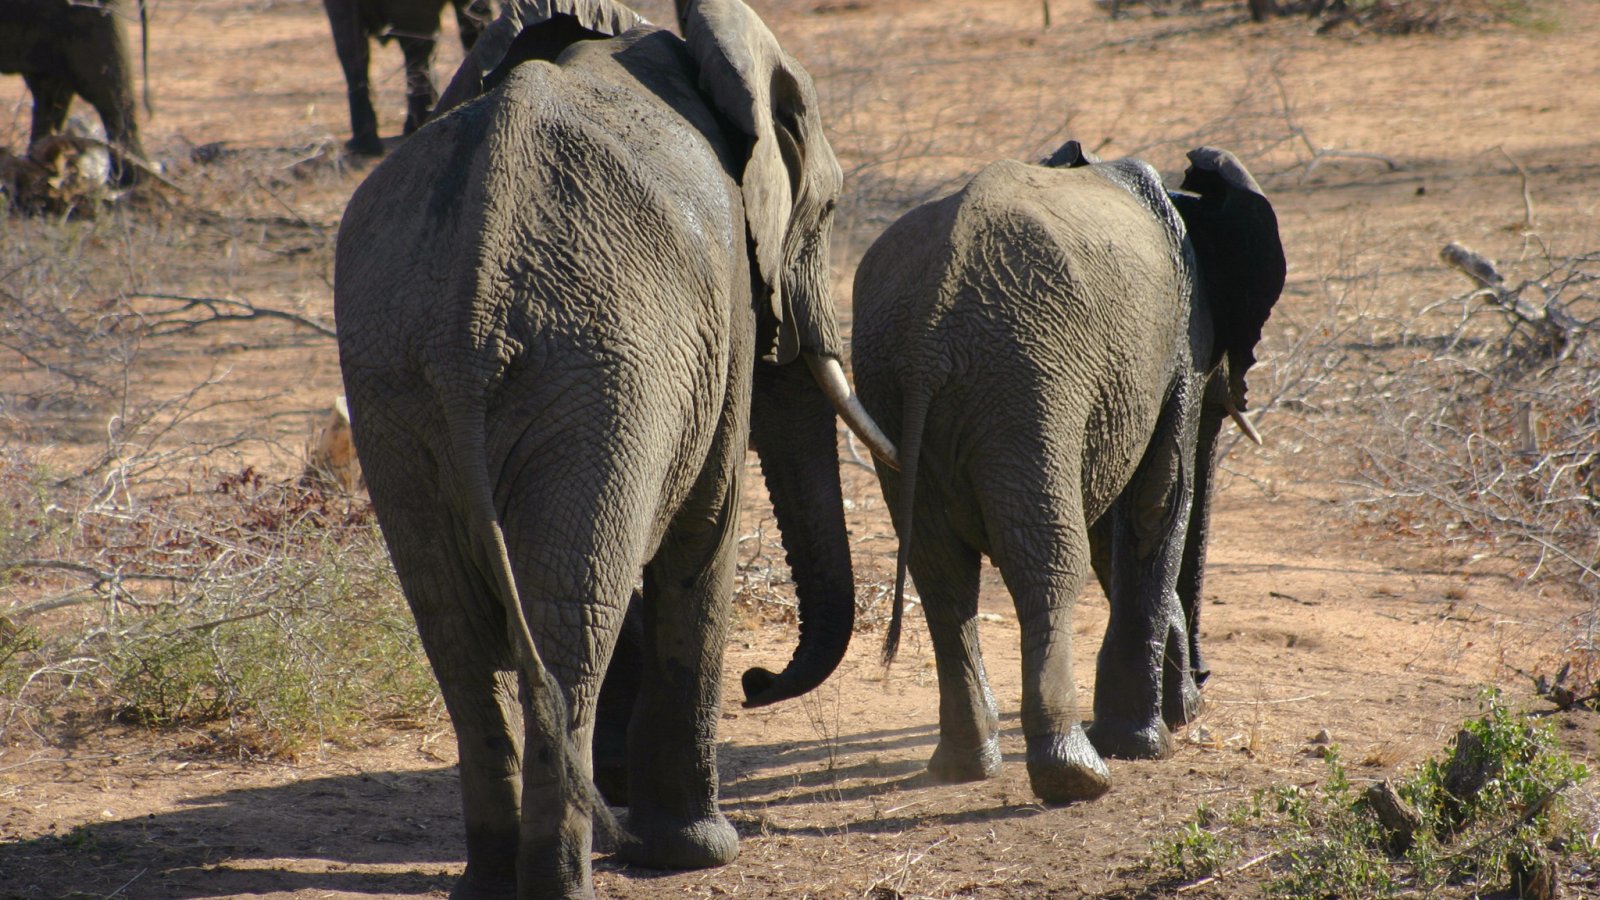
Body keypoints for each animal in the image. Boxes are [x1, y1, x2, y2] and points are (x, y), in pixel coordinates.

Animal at [851, 143, 1286, 800]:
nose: (1201, 684)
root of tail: (928, 331)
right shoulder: (1179, 346)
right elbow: (1159, 500)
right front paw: (1144, 745)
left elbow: (1119, 520)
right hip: (1029, 378)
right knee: (1048, 558)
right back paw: (1075, 774)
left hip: (891, 383)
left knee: (940, 568)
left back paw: (966, 764)